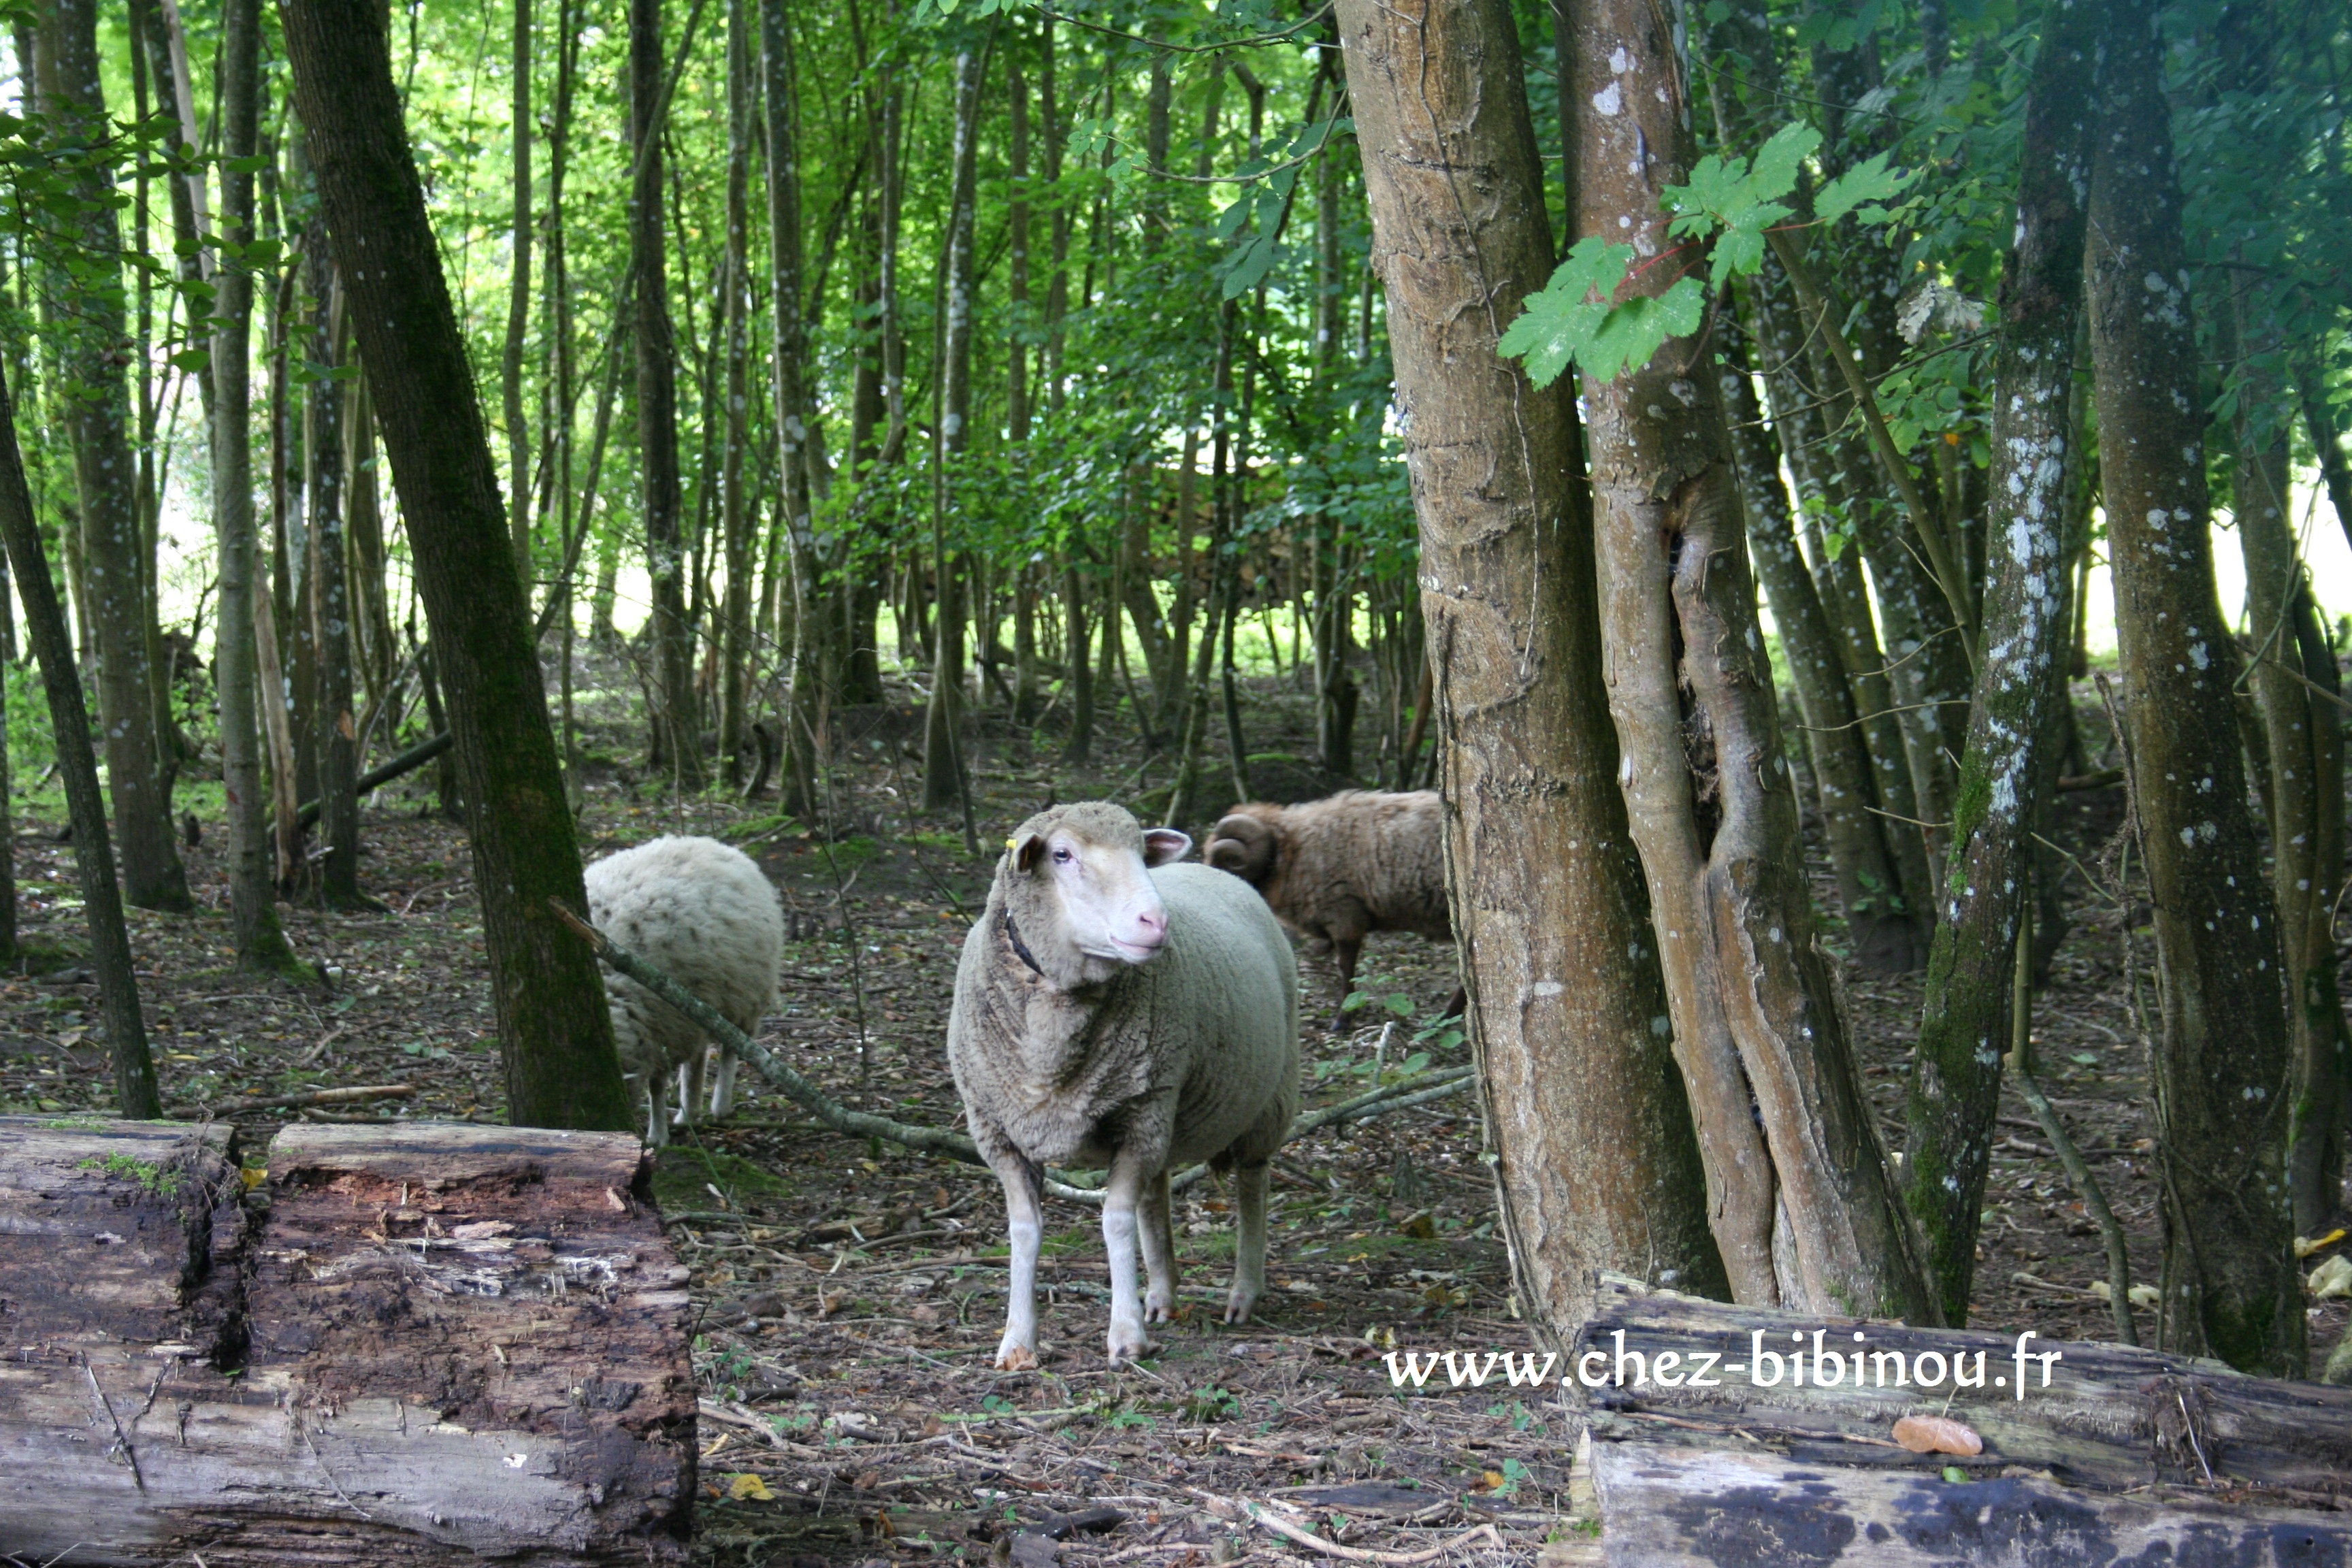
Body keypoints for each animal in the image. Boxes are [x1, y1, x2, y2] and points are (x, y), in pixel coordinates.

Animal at [583, 832, 785, 1152]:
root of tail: (706, 841)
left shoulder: (661, 1027)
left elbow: (656, 1087)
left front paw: (657, 1136)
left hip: (743, 995)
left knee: (732, 1048)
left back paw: (719, 1106)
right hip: (698, 1005)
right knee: (699, 1057)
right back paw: (689, 1112)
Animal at [945, 804, 1298, 1363]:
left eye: (1139, 852)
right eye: (1062, 854)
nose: (1156, 921)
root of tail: (1212, 869)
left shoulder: (1138, 1112)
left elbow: (1115, 1220)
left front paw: (1126, 1335)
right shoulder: (999, 1132)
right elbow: (1024, 1232)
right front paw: (1017, 1342)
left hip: (1264, 1098)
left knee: (1252, 1185)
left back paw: (1243, 1293)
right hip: (1164, 1111)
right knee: (1156, 1195)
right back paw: (1162, 1293)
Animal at [1204, 789, 1458, 1025]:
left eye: (1224, 861)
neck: (1293, 852)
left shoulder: (1344, 914)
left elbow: (1345, 968)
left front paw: (1344, 1018)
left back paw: (1449, 1015)